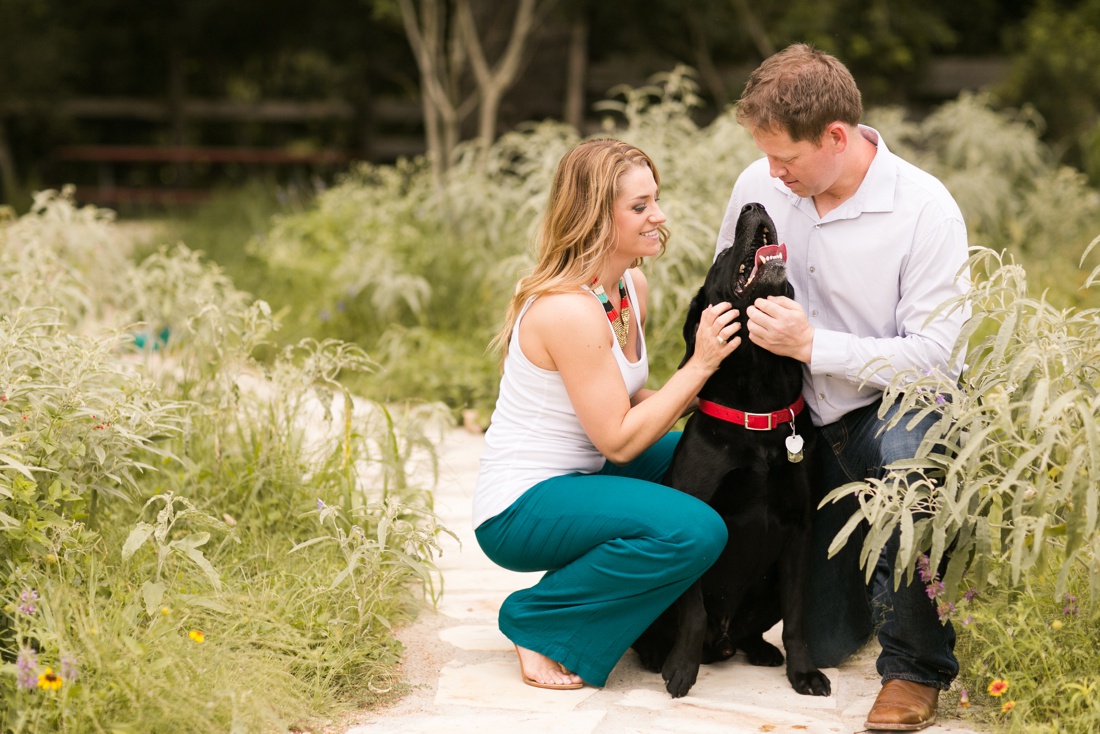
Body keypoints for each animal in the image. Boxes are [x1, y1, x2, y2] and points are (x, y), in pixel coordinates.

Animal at [633, 201, 827, 699]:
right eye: (722, 254)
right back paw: (658, 656)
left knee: (750, 631)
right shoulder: (700, 519)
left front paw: (803, 673)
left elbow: (798, 617)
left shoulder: (800, 529)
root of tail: (722, 642)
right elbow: (694, 612)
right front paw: (681, 671)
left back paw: (760, 650)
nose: (754, 204)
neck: (758, 407)